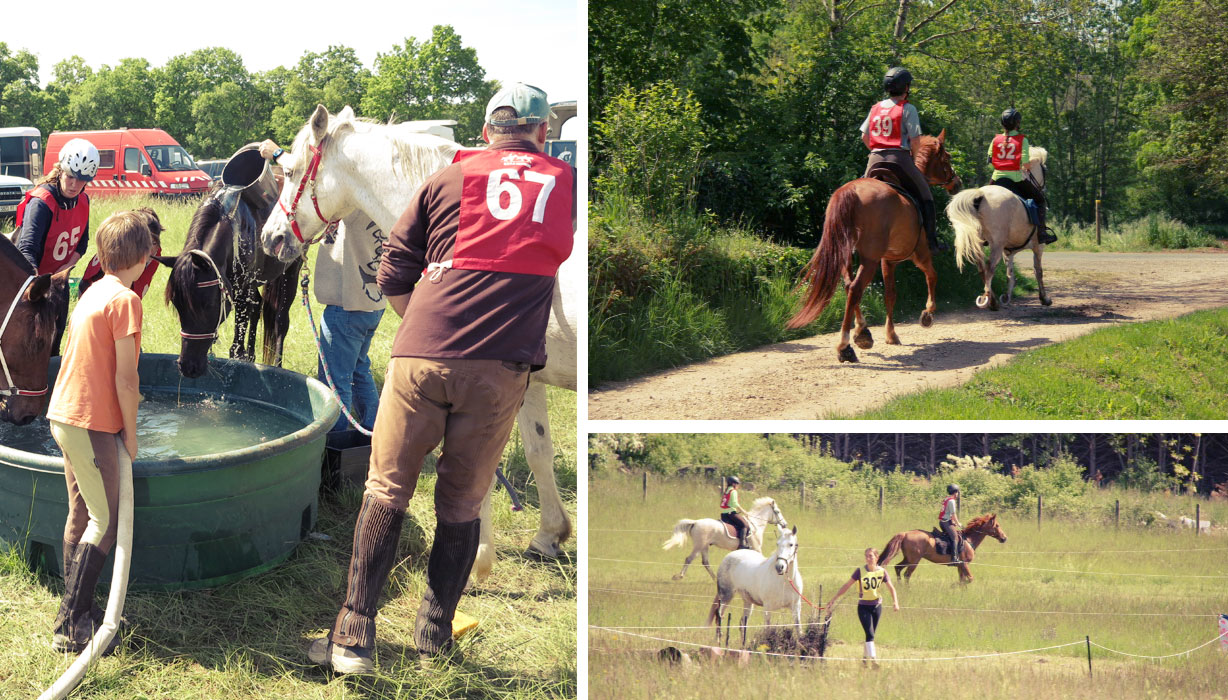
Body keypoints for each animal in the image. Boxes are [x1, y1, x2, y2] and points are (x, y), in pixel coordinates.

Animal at [159, 186, 303, 375]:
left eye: (208, 305)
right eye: (177, 305)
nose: (188, 367)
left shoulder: (242, 291)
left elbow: (237, 348)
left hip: (291, 270)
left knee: (280, 321)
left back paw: (277, 364)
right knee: (258, 306)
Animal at [259, 103, 574, 574]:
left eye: (293, 171)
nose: (270, 237)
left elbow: (475, 467)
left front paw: (477, 559)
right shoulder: (528, 381)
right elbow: (539, 450)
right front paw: (549, 535)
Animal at [790, 131, 962, 363]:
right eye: (947, 158)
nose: (957, 183)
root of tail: (851, 191)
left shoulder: (887, 261)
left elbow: (890, 294)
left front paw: (891, 335)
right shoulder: (921, 255)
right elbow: (932, 277)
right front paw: (928, 314)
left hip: (847, 255)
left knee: (849, 286)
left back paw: (862, 332)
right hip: (871, 259)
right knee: (855, 288)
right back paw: (845, 346)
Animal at [874, 508, 1006, 579]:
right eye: (997, 525)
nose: (1004, 538)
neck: (969, 540)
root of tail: (905, 533)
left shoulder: (960, 566)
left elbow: (962, 580)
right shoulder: (964, 564)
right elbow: (969, 579)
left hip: (908, 558)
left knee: (898, 568)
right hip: (914, 560)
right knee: (907, 574)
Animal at [943, 145, 1051, 309]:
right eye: (1044, 170)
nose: (1043, 189)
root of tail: (980, 194)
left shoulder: (1009, 251)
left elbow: (1010, 274)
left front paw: (1006, 297)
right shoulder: (1038, 247)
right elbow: (1038, 271)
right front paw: (1044, 298)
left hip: (980, 242)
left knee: (981, 267)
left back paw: (991, 298)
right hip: (996, 244)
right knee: (990, 267)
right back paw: (989, 300)